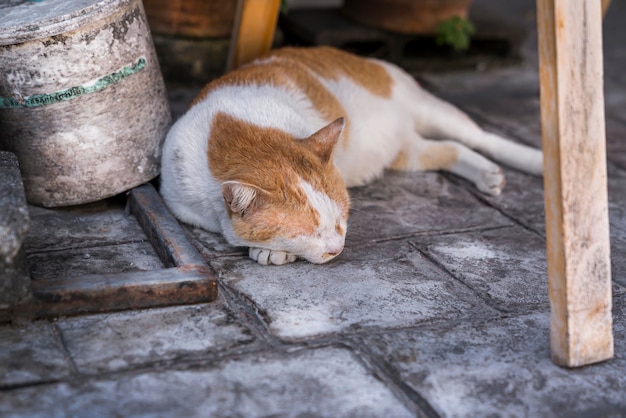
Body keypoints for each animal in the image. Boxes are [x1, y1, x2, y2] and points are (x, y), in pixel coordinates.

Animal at [161, 45, 540, 266]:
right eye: (309, 232)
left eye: (340, 219)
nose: (337, 248)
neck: (232, 129)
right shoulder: (180, 203)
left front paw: (269, 251)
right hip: (408, 152)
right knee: (451, 149)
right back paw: (487, 174)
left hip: (429, 108)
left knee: (482, 138)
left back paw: (532, 162)